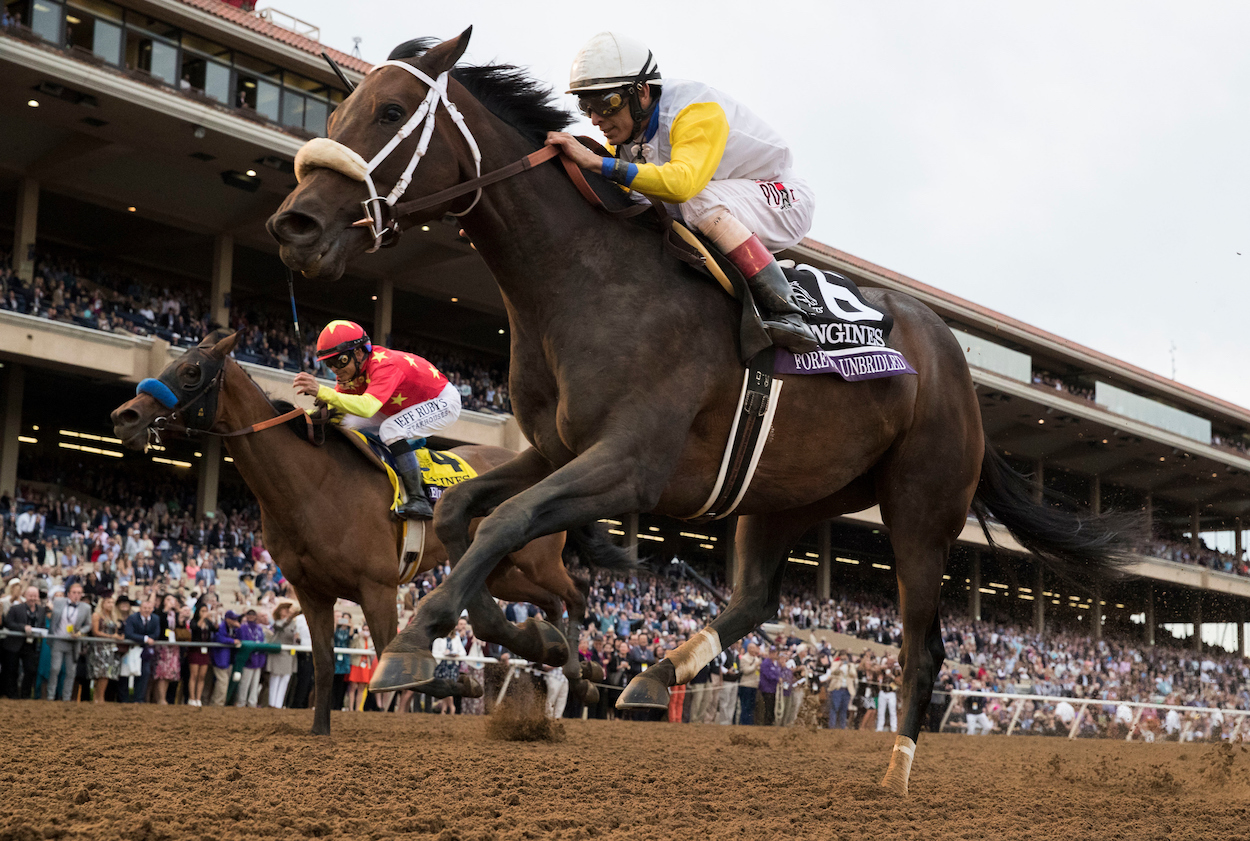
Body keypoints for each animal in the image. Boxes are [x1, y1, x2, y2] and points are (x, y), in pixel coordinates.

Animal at [108, 332, 625, 729]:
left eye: (191, 372)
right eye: (172, 363)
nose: (124, 416)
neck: (311, 484)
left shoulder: (377, 588)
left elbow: (394, 660)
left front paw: (463, 680)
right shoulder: (312, 592)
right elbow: (321, 664)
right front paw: (320, 733)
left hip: (534, 559)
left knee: (575, 593)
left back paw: (578, 673)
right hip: (501, 571)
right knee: (552, 602)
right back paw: (553, 649)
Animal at [266, 31, 1135, 794]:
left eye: (387, 112)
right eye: (337, 114)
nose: (293, 224)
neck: (583, 278)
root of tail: (956, 362)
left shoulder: (631, 466)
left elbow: (509, 520)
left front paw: (420, 636)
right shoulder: (555, 448)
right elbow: (462, 516)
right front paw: (526, 637)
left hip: (921, 506)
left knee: (922, 650)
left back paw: (897, 771)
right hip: (781, 493)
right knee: (758, 597)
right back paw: (653, 674)